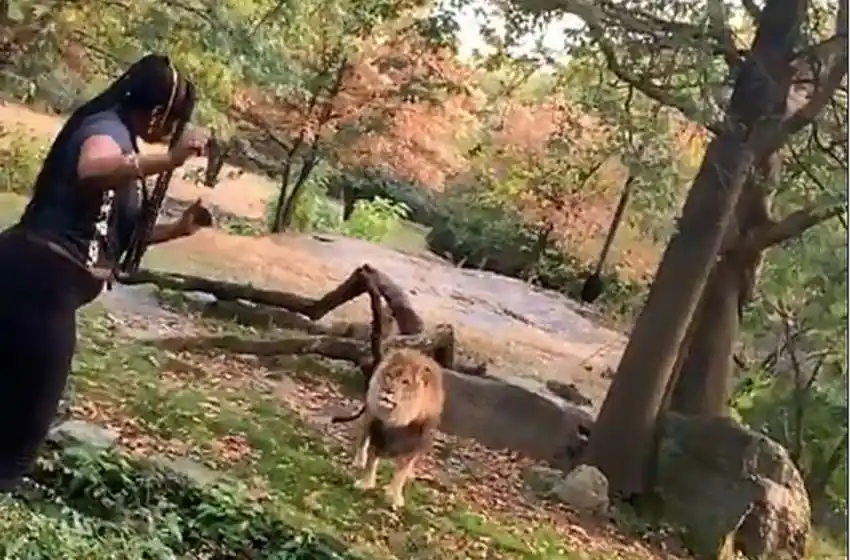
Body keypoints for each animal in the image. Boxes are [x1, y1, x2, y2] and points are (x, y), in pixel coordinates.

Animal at [343, 347, 445, 509]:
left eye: (405, 382)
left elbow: (401, 474)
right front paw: (366, 484)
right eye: (389, 376)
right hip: (368, 416)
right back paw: (359, 461)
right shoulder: (377, 432)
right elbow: (371, 462)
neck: (397, 419)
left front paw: (394, 497)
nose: (388, 389)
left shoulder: (413, 444)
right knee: (362, 440)